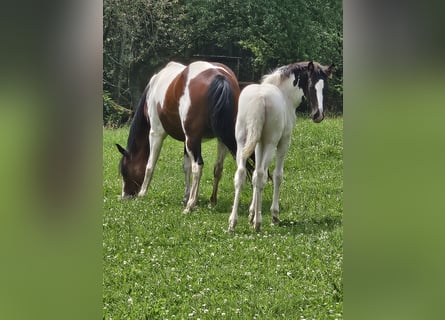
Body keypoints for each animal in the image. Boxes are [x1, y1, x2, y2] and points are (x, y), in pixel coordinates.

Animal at [115, 61, 243, 212]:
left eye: (124, 170)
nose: (126, 196)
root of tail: (220, 76)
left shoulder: (156, 133)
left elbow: (150, 165)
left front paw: (142, 194)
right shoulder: (185, 140)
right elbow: (186, 167)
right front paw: (186, 197)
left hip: (194, 139)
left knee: (198, 167)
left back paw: (190, 206)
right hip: (220, 139)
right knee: (220, 167)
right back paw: (213, 202)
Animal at [229, 60, 332, 230]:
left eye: (325, 87)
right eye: (311, 85)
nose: (318, 115)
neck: (285, 96)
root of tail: (260, 98)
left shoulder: (259, 143)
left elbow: (254, 175)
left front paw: (251, 214)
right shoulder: (283, 142)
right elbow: (277, 175)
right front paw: (273, 215)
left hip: (242, 143)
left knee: (242, 174)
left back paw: (233, 222)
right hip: (271, 144)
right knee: (262, 176)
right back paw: (258, 223)